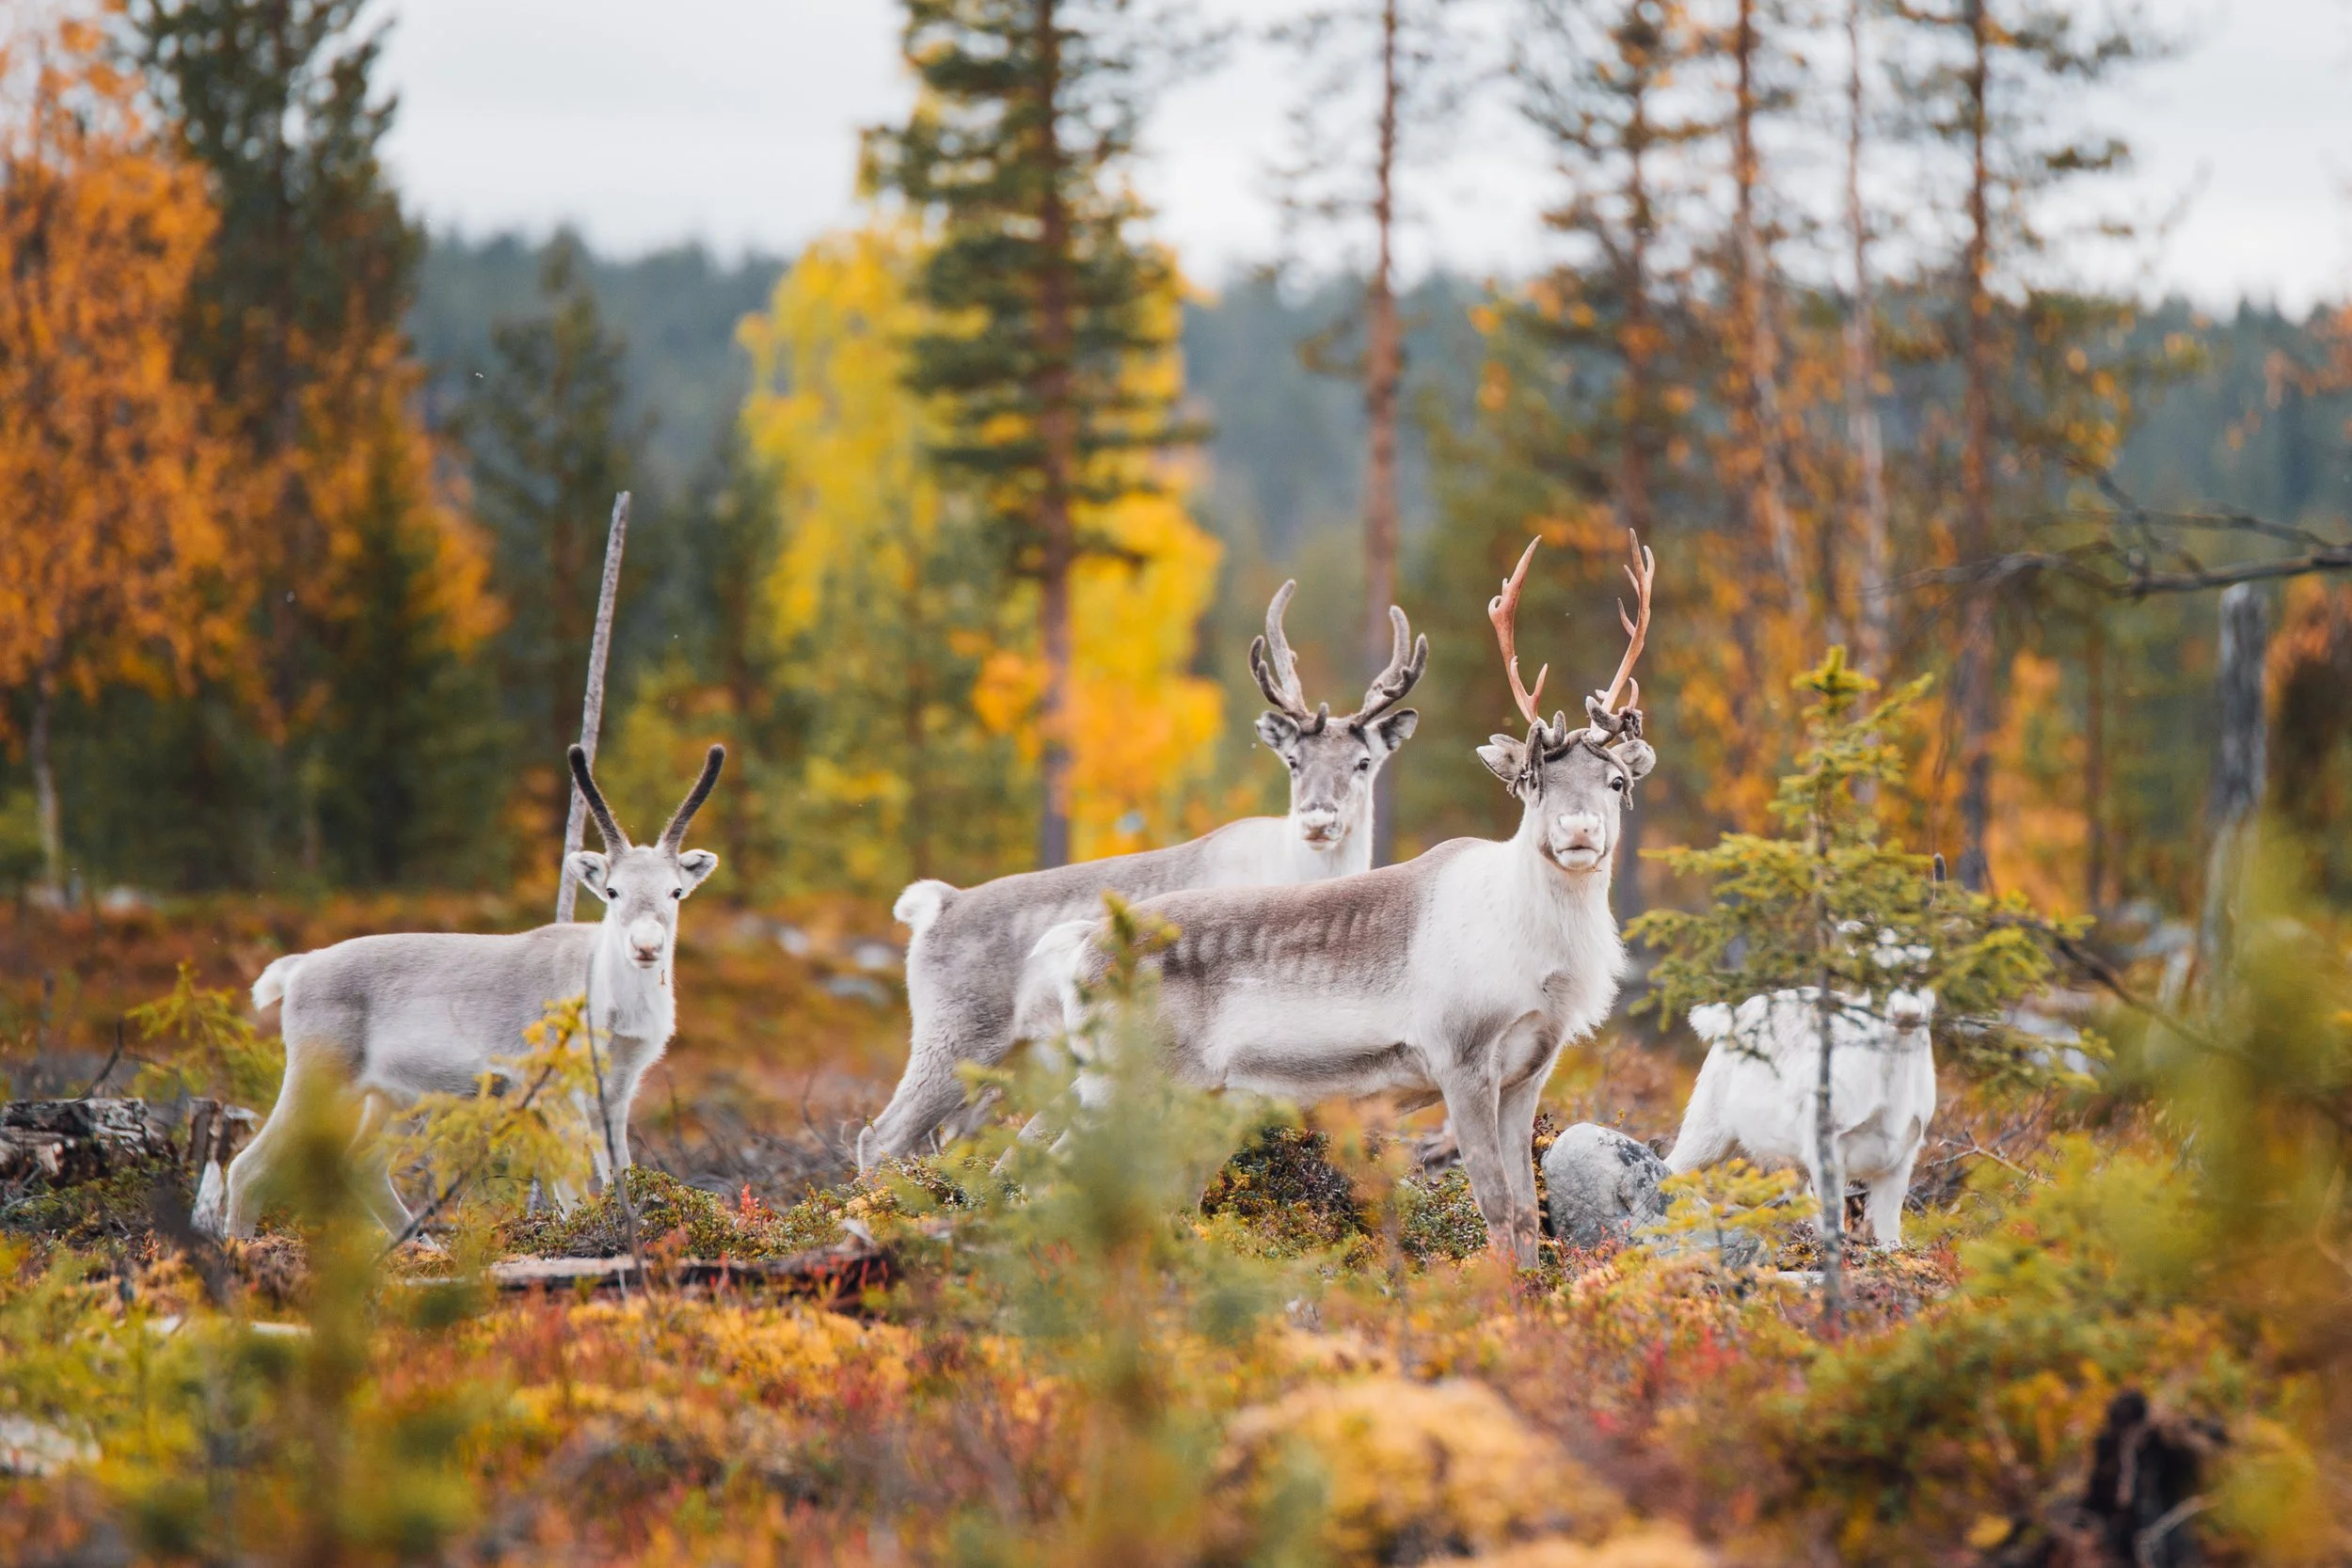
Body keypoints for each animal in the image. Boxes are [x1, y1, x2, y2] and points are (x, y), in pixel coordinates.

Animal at [215, 744, 724, 1239]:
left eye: (676, 891)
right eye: (613, 891)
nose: (646, 946)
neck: (610, 1005)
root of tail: (298, 968)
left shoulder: (618, 1090)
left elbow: (620, 1173)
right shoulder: (553, 1089)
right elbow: (572, 1189)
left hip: (395, 1097)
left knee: (361, 1166)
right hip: (319, 1074)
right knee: (247, 1167)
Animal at [857, 582, 1428, 1170]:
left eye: (1363, 762)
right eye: (1293, 760)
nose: (1317, 819)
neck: (1294, 870)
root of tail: (936, 905)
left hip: (1004, 1064)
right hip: (953, 1038)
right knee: (880, 1137)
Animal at [1045, 532, 1658, 1264]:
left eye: (1617, 780)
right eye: (1533, 780)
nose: (1578, 831)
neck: (1542, 956)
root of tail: (1082, 953)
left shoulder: (1528, 1073)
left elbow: (1529, 1216)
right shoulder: (1460, 1061)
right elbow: (1497, 1207)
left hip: (1197, 1102)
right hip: (1121, 1081)